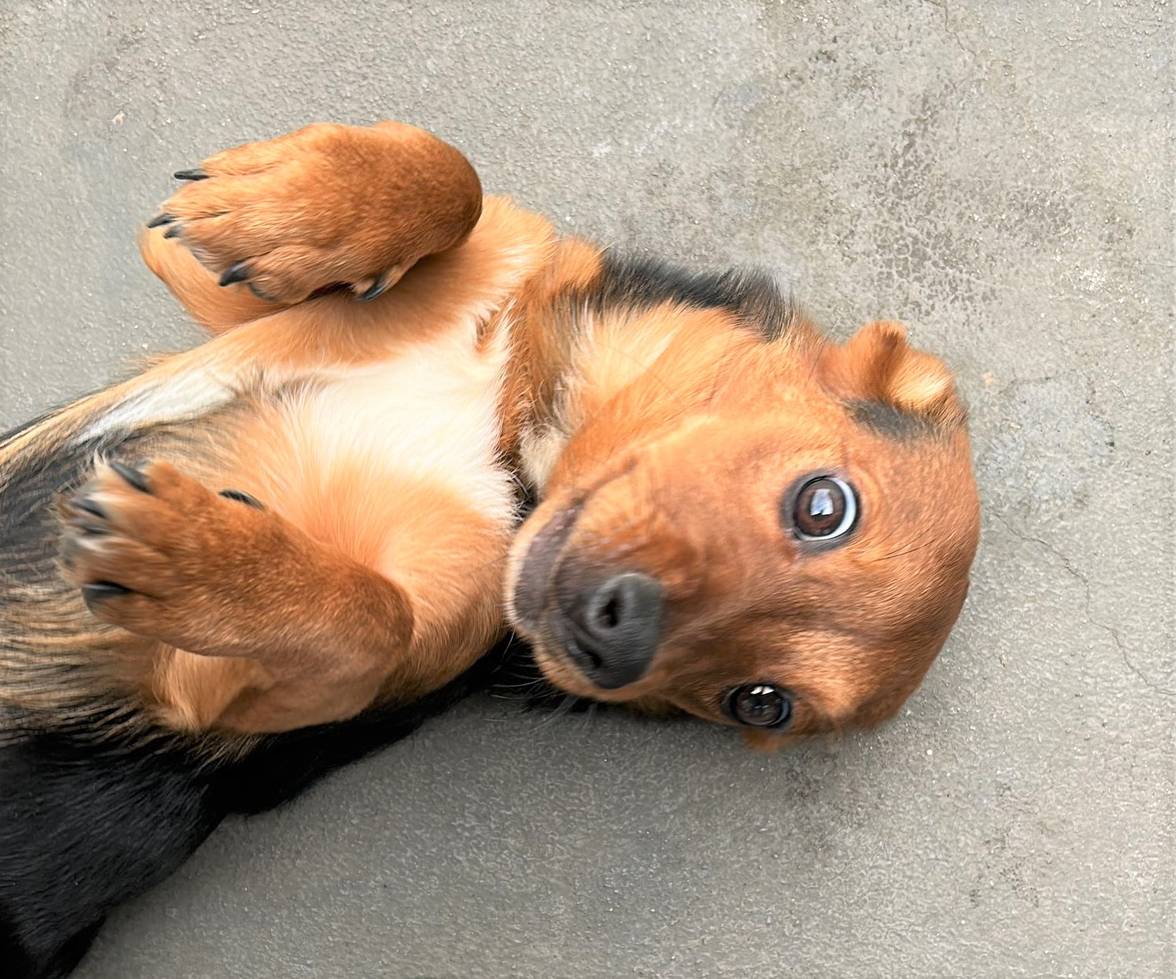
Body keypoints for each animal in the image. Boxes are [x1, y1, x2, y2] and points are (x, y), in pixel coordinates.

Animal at [0, 120, 979, 976]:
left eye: (762, 702)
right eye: (824, 507)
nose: (611, 647)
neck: (514, 439)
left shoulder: (211, 690)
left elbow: (372, 619)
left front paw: (197, 555)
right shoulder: (223, 300)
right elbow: (453, 176)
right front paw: (286, 202)